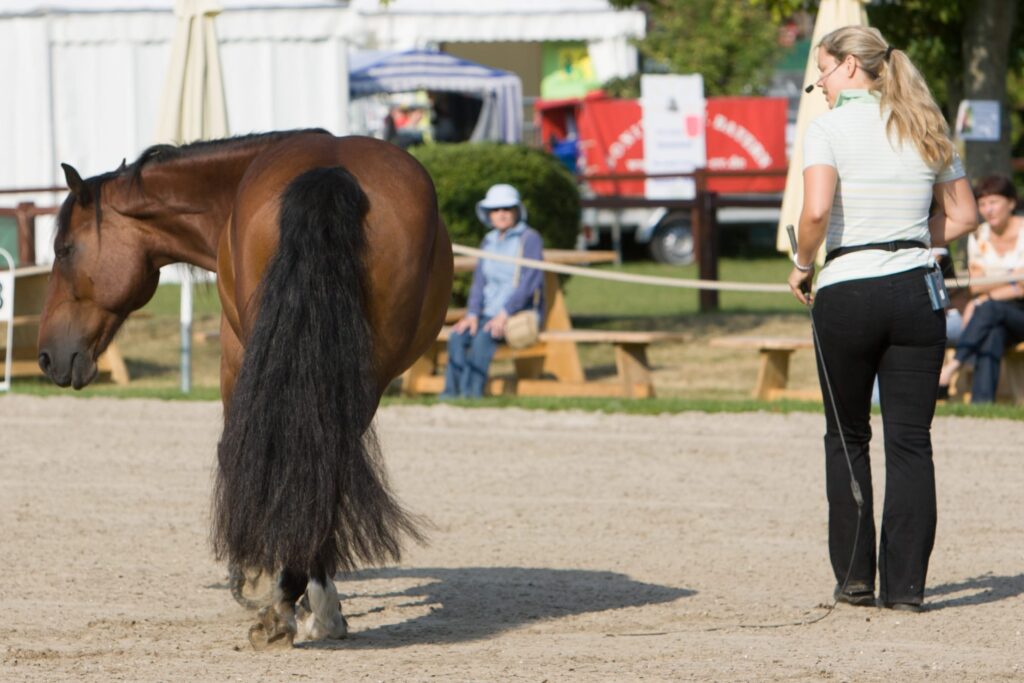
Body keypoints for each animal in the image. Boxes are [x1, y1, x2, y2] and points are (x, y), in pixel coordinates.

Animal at [37, 131, 452, 651]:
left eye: (64, 250)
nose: (46, 355)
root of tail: (331, 172)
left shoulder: (235, 361)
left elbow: (236, 452)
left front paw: (259, 578)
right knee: (327, 458)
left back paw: (284, 605)